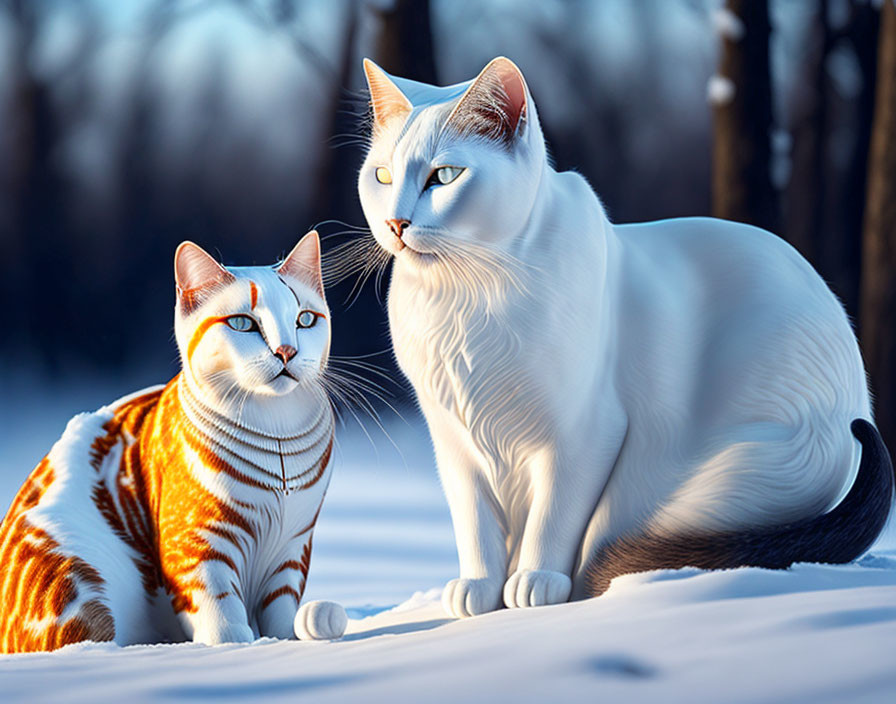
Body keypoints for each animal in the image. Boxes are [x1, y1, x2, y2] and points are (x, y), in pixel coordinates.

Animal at [0, 234, 346, 652]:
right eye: (243, 323)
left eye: (305, 319)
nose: (287, 352)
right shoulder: (195, 543)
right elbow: (222, 618)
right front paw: (237, 648)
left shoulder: (292, 548)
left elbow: (281, 612)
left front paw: (286, 642)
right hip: (76, 570)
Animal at [358, 57, 896, 616]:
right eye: (383, 176)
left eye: (444, 176)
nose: (396, 222)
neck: (466, 300)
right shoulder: (454, 442)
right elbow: (475, 526)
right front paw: (479, 589)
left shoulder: (583, 433)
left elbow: (552, 518)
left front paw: (534, 581)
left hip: (710, 481)